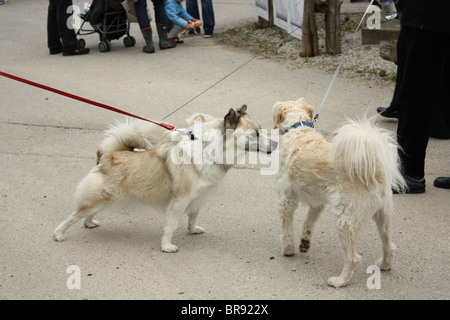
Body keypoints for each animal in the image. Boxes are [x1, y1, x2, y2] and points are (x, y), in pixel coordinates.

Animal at [272, 98, 406, 288]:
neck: (298, 130)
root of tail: (375, 172)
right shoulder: (318, 203)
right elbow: (308, 224)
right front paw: (304, 242)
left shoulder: (286, 200)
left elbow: (287, 230)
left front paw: (288, 249)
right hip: (383, 216)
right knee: (389, 246)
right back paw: (385, 265)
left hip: (345, 222)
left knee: (353, 258)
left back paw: (340, 281)